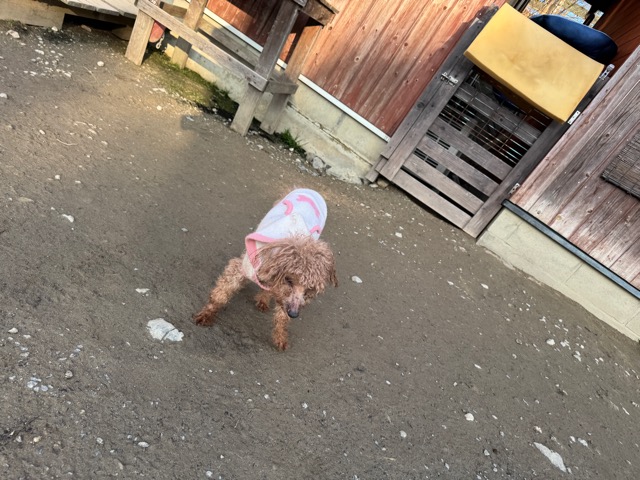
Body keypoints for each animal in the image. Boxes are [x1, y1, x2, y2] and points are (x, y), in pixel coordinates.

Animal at [194, 188, 337, 350]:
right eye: (289, 280)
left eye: (310, 290)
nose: (294, 314)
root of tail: (310, 190)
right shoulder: (242, 268)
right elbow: (221, 295)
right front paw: (206, 314)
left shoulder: (286, 299)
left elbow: (281, 314)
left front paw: (280, 335)